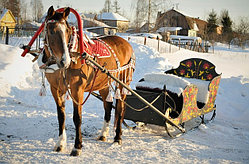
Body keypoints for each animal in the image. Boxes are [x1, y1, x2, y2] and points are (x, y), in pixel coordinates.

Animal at [43, 6, 136, 155]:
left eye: (67, 31)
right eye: (51, 31)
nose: (64, 61)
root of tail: (126, 43)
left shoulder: (77, 89)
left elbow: (77, 118)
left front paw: (77, 146)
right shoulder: (56, 89)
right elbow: (61, 116)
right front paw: (60, 144)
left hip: (123, 81)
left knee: (120, 108)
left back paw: (117, 138)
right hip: (104, 83)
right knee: (108, 105)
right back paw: (104, 134)